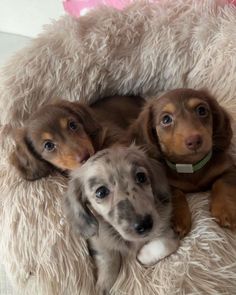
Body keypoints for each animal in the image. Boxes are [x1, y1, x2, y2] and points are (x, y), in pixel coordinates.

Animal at [63, 147, 178, 294]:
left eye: (141, 177)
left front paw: (143, 255)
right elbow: (109, 257)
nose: (145, 225)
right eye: (101, 192)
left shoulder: (167, 228)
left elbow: (167, 244)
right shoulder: (98, 239)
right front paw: (103, 285)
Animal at [127, 88, 236, 238]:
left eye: (202, 110)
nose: (194, 140)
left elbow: (222, 182)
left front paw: (225, 209)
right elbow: (175, 193)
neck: (190, 166)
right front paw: (178, 218)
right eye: (166, 119)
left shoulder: (229, 167)